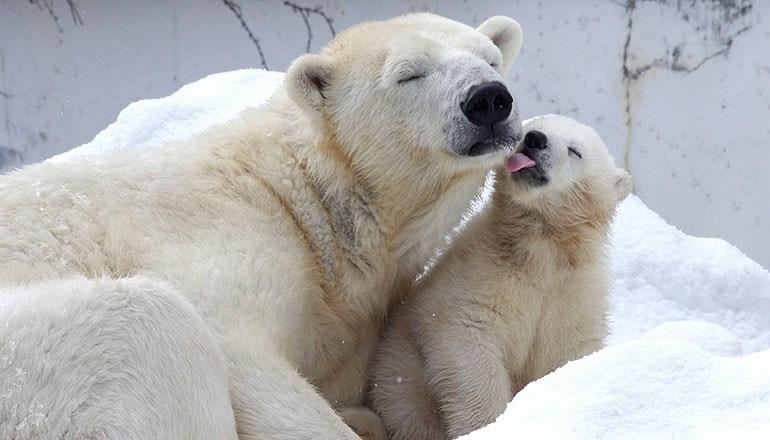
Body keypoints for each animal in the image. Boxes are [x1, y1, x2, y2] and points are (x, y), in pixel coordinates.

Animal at [0, 12, 520, 438]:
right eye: (409, 73)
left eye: (491, 59)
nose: (488, 99)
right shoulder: (222, 235)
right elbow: (240, 350)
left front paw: (363, 415)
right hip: (31, 368)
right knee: (148, 323)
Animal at [366, 115, 632, 438]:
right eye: (530, 126)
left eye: (575, 151)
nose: (534, 139)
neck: (545, 247)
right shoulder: (481, 274)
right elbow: (468, 336)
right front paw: (488, 425)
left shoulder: (573, 298)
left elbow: (567, 355)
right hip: (401, 367)